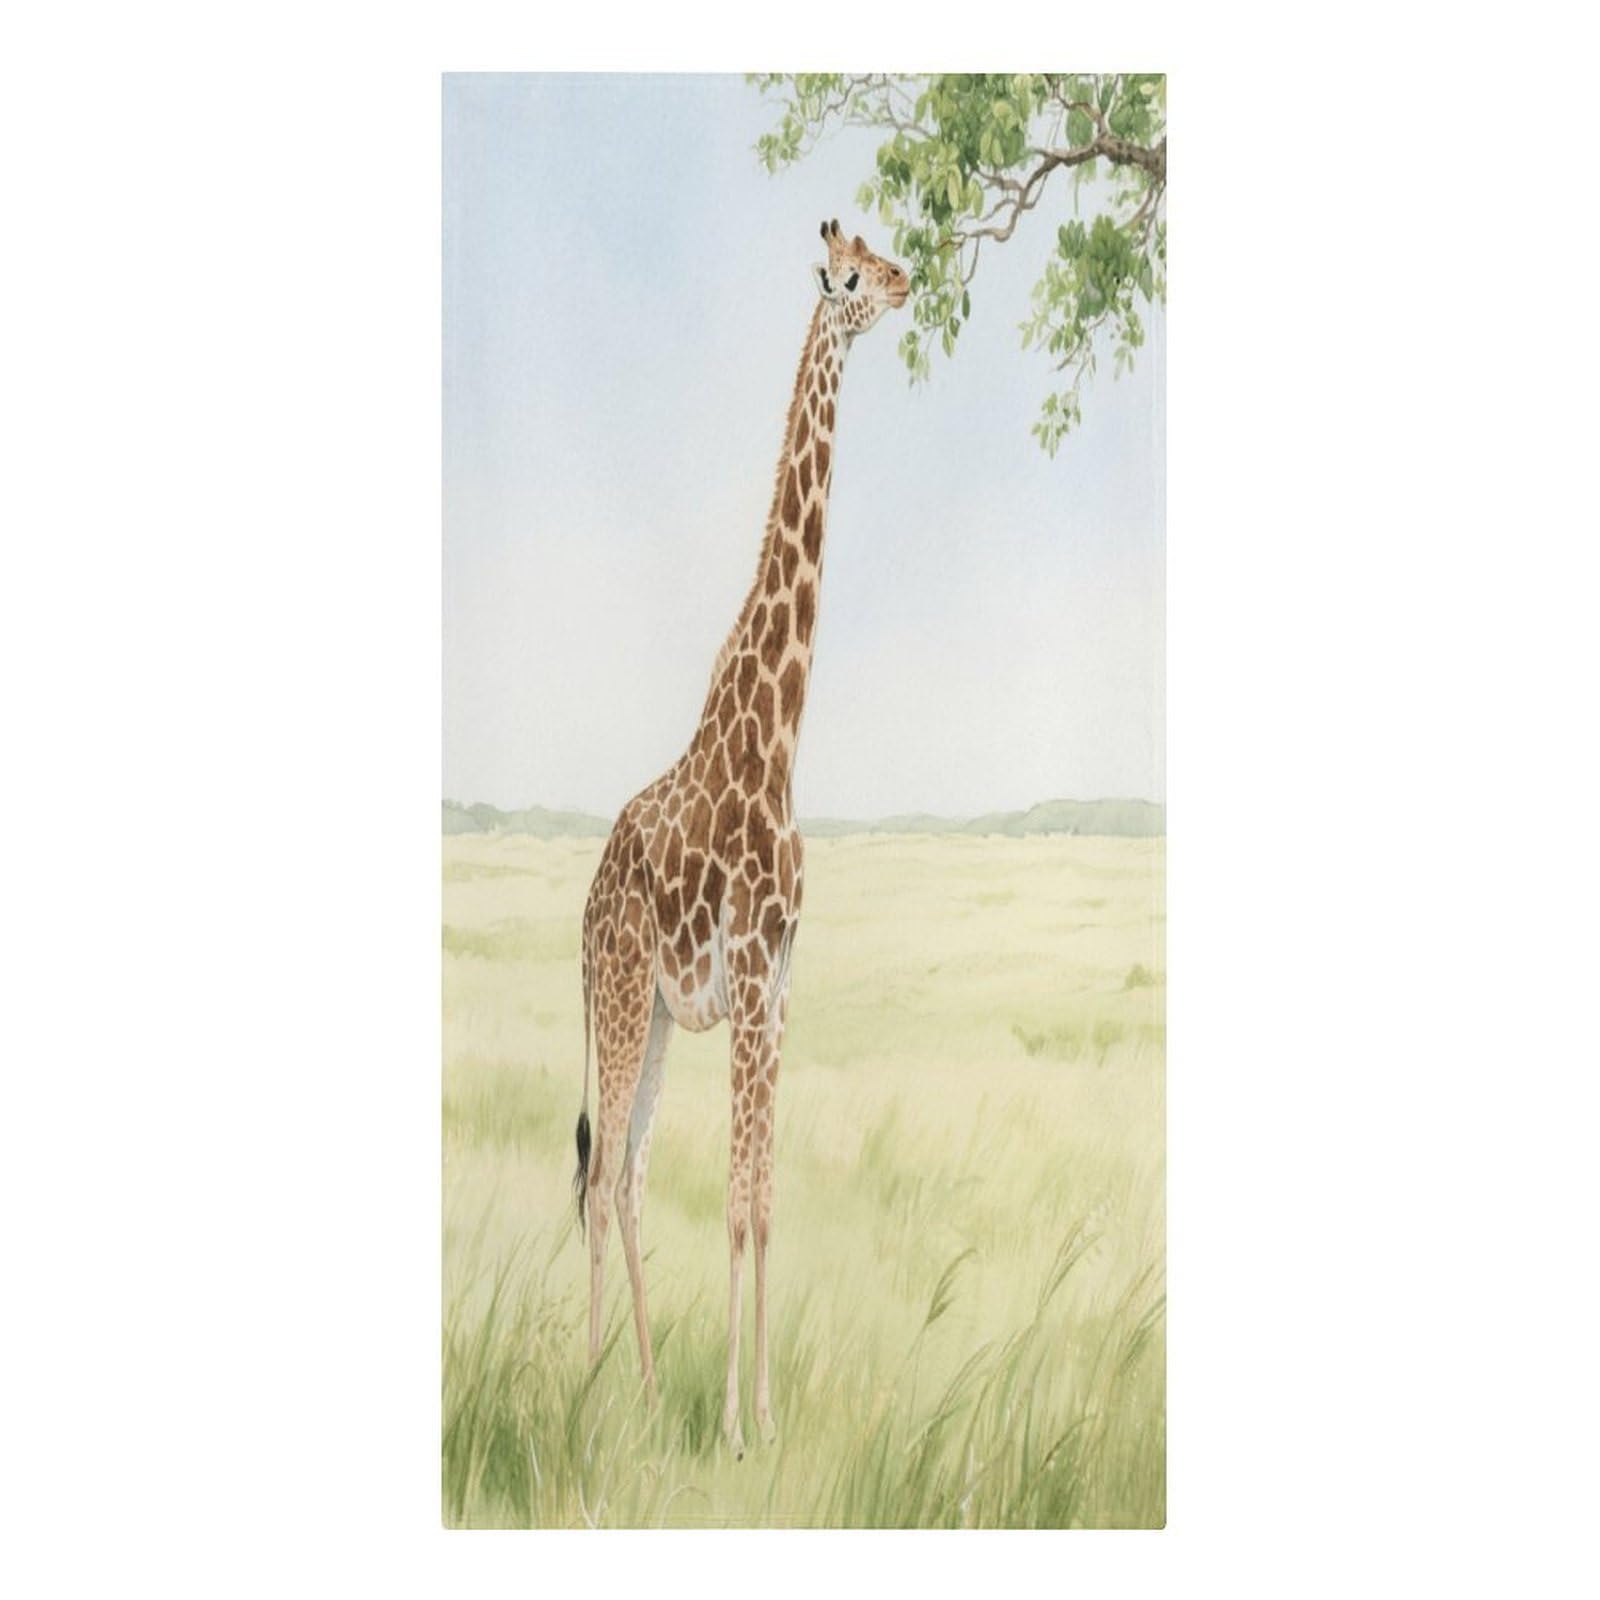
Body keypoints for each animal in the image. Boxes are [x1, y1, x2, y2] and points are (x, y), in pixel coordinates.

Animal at [570, 220, 908, 1455]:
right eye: (851, 274)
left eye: (880, 252)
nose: (907, 283)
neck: (778, 739)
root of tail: (581, 912)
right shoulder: (752, 982)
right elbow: (730, 1205)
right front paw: (729, 1424)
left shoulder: (779, 990)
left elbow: (763, 1201)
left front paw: (758, 1411)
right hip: (629, 997)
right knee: (597, 1178)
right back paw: (585, 1383)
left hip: (665, 1017)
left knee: (623, 1175)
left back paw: (637, 1385)